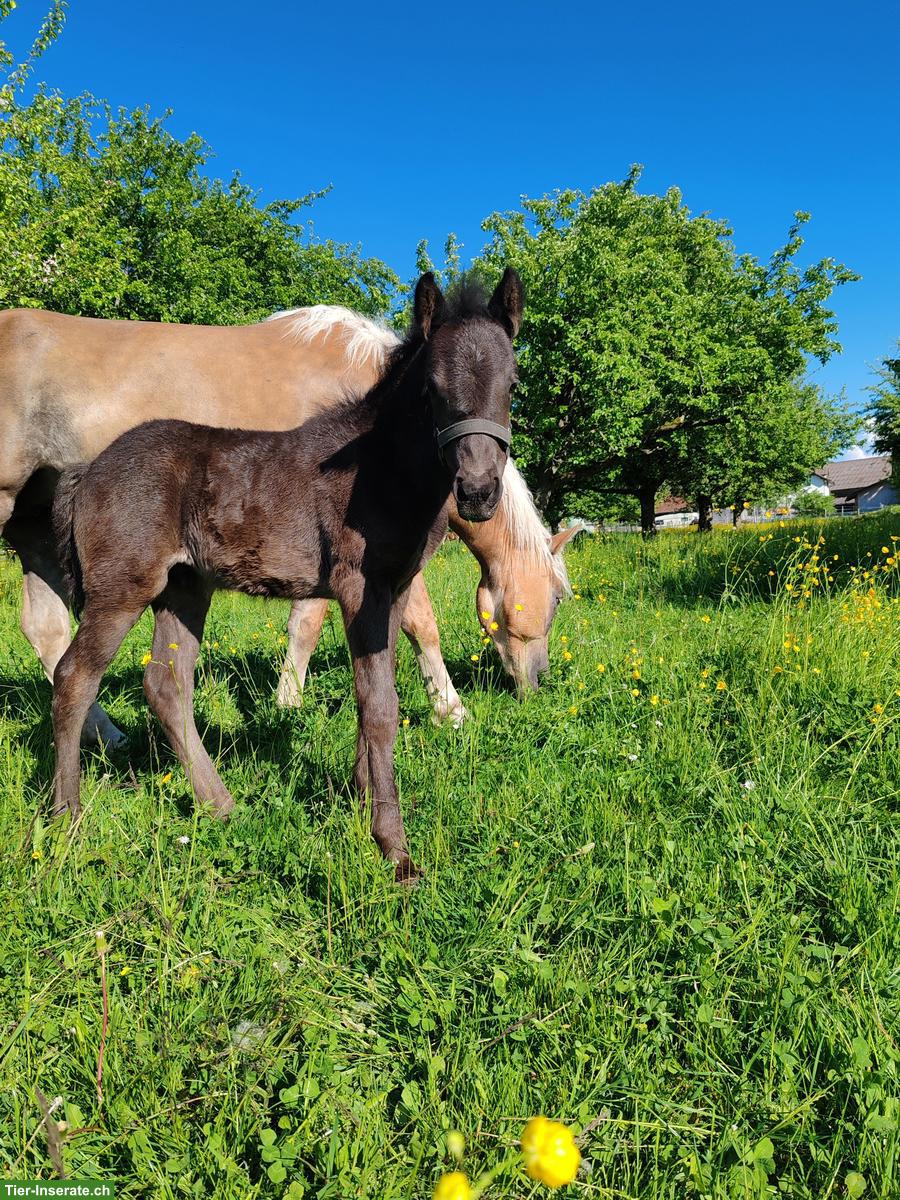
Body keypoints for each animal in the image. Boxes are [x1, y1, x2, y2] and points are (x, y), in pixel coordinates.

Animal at [0, 297, 574, 744]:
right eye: (553, 601)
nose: (537, 682)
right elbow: (401, 623)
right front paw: (448, 709)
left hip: (34, 527)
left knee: (48, 631)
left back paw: (104, 732)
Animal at [50, 271, 523, 882]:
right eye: (432, 390)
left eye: (511, 384)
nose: (479, 492)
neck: (382, 469)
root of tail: (87, 472)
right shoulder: (359, 587)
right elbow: (380, 705)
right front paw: (394, 848)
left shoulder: (391, 592)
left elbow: (374, 693)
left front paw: (360, 799)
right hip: (122, 590)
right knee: (74, 678)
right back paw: (65, 818)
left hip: (185, 588)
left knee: (166, 685)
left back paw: (221, 805)